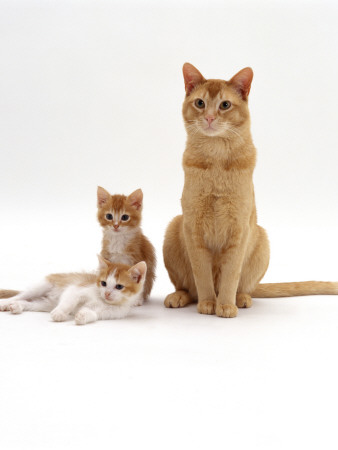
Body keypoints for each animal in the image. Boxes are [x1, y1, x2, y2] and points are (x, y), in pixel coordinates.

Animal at [0, 255, 147, 326]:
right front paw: (59, 313)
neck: (102, 300)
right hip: (43, 285)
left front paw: (82, 316)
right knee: (20, 295)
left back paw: (16, 306)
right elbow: (68, 302)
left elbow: (93, 314)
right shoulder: (76, 289)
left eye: (119, 286)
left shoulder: (111, 313)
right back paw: (6, 303)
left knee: (30, 302)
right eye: (104, 283)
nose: (107, 293)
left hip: (44, 304)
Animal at [162, 63, 336, 318]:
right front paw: (208, 304)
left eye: (225, 105)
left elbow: (231, 275)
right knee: (189, 289)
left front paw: (225, 305)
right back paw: (179, 297)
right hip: (174, 226)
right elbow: (202, 275)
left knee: (246, 288)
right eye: (200, 103)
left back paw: (241, 299)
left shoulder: (239, 228)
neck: (216, 159)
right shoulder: (193, 227)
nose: (210, 117)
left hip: (262, 238)